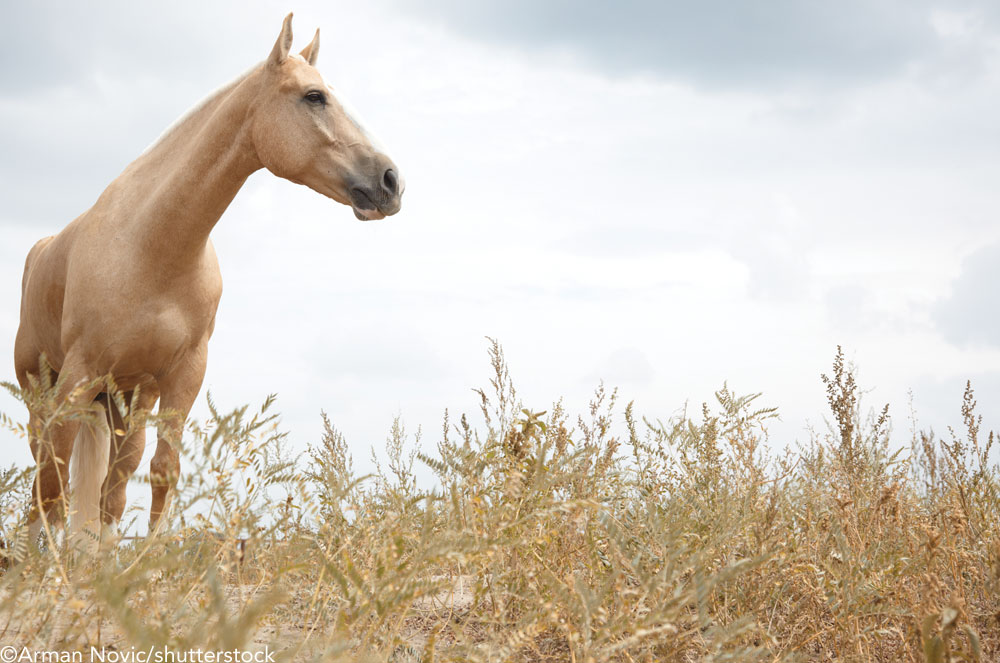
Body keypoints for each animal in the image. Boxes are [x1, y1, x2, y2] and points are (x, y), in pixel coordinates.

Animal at [12, 14, 402, 548]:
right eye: (314, 96)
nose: (391, 181)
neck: (151, 247)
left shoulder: (182, 375)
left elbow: (160, 471)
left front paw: (145, 563)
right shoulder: (78, 374)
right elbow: (53, 482)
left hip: (125, 401)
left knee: (112, 482)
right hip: (44, 393)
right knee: (45, 478)